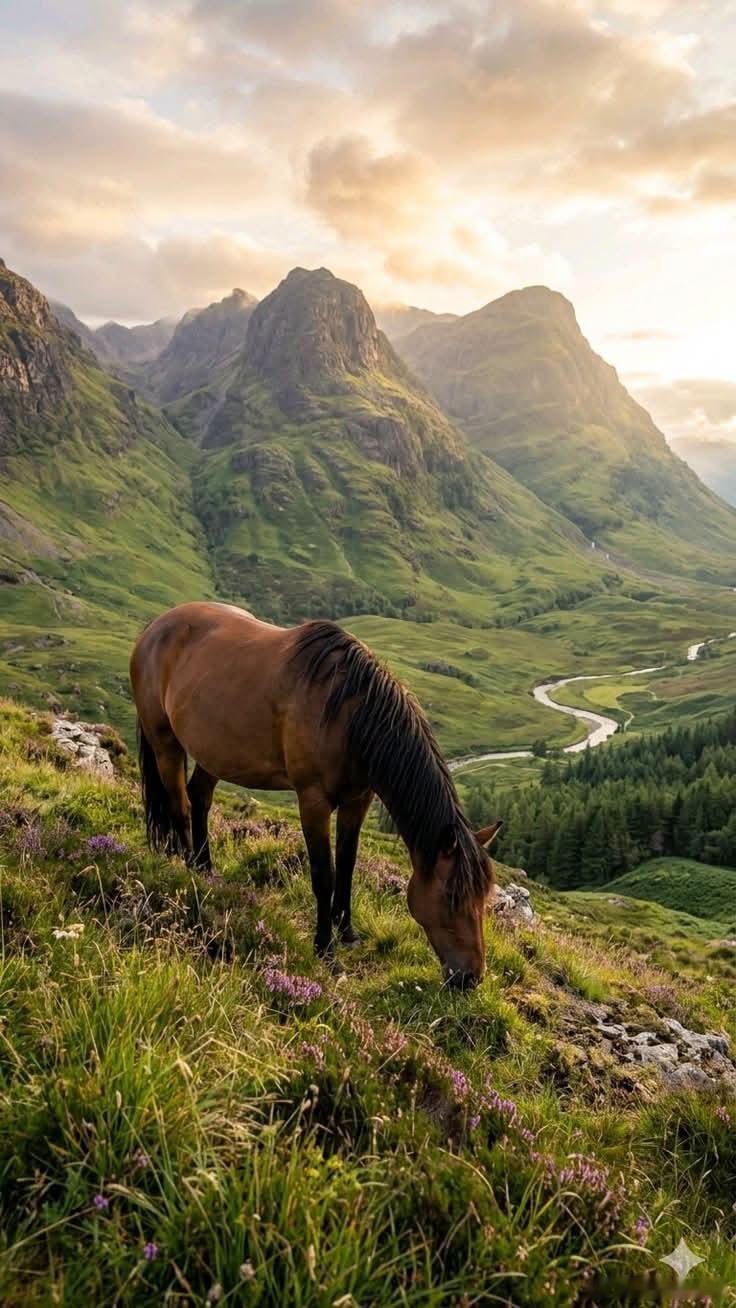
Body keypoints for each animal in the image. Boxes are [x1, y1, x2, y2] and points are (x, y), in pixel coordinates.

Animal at [129, 601, 502, 989]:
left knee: (199, 798)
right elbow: (323, 875)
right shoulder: (313, 801)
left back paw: (206, 870)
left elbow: (348, 865)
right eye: (451, 897)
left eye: (484, 898)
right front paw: (326, 950)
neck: (348, 716)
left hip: (215, 753)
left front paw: (347, 932)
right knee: (180, 805)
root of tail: (155, 627)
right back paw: (189, 868)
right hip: (166, 744)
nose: (470, 978)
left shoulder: (358, 799)